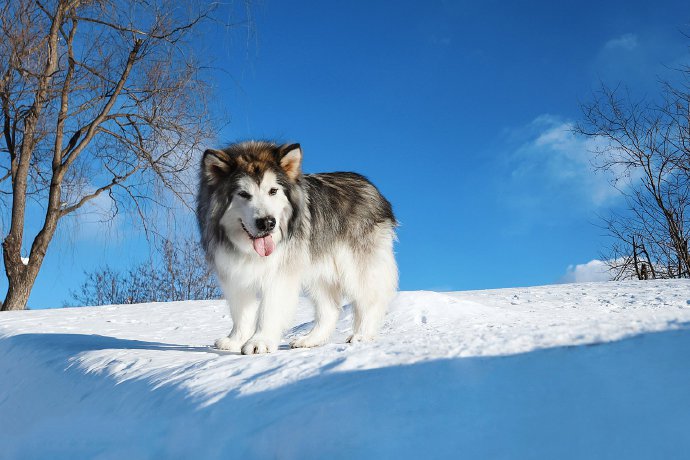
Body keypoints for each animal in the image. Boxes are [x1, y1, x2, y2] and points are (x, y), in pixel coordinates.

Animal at [194, 142, 398, 354]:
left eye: (273, 191)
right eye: (243, 194)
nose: (268, 223)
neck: (250, 250)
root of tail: (370, 186)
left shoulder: (279, 273)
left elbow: (268, 310)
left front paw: (260, 341)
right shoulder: (235, 275)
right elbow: (241, 313)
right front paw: (235, 340)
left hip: (357, 268)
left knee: (371, 300)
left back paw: (362, 335)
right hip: (319, 271)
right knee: (330, 309)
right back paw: (311, 339)